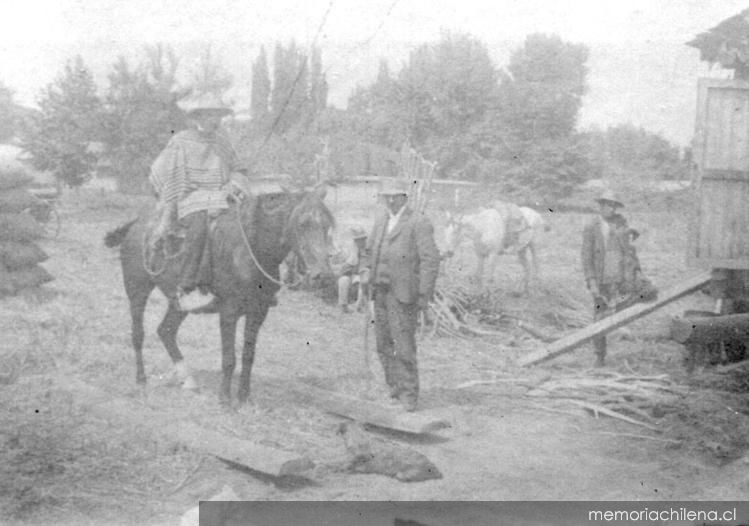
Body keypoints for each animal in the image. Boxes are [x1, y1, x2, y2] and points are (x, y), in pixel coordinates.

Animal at [102, 194, 334, 408]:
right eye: (303, 224)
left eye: (327, 226)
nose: (323, 275)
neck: (249, 250)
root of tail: (137, 224)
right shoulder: (229, 312)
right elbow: (229, 358)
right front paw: (224, 399)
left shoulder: (258, 313)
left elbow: (248, 356)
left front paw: (244, 398)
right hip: (137, 290)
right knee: (138, 335)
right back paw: (141, 381)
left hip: (178, 304)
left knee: (165, 331)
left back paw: (188, 380)